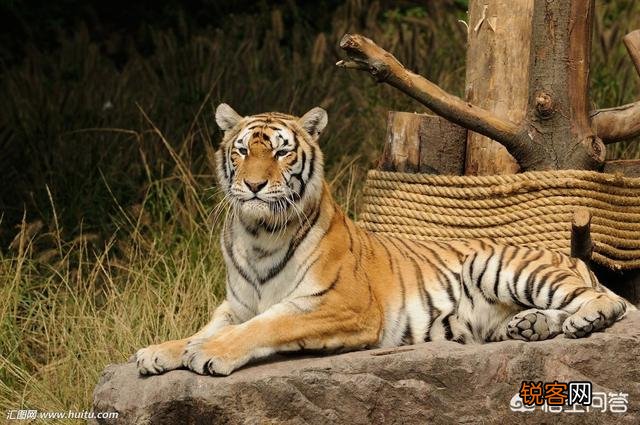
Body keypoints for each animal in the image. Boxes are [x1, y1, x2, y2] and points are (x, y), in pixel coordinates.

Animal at [135, 104, 635, 376]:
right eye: (241, 151)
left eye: (281, 152)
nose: (254, 186)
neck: (258, 234)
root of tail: (574, 258)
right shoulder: (236, 305)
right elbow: (208, 327)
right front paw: (159, 351)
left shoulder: (340, 304)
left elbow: (264, 325)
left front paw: (207, 354)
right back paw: (529, 327)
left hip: (503, 266)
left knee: (610, 303)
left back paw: (583, 321)